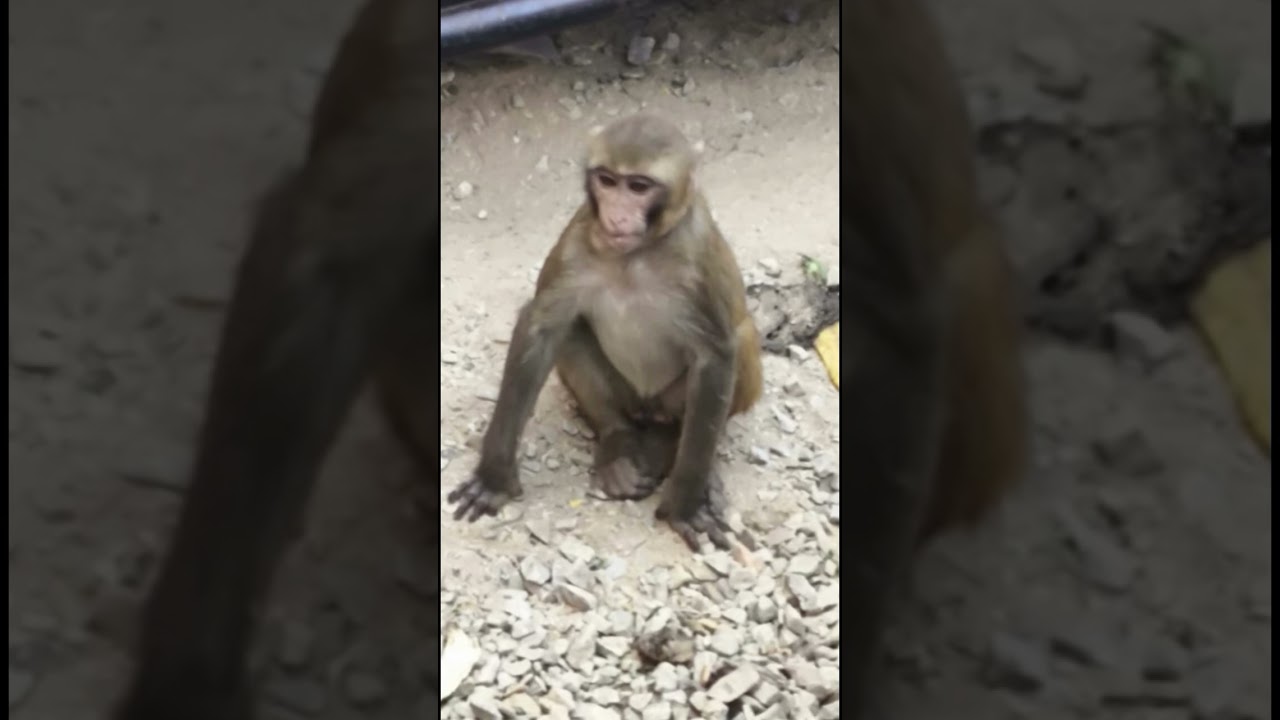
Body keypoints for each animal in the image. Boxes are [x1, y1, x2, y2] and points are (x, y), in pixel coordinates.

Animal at [446, 114, 764, 552]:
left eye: (639, 187)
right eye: (608, 180)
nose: (615, 215)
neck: (636, 255)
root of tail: (648, 407)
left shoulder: (697, 256)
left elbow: (716, 352)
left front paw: (683, 506)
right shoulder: (577, 239)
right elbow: (542, 326)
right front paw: (494, 479)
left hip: (675, 400)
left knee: (740, 338)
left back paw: (674, 448)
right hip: (625, 395)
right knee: (573, 332)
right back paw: (618, 446)